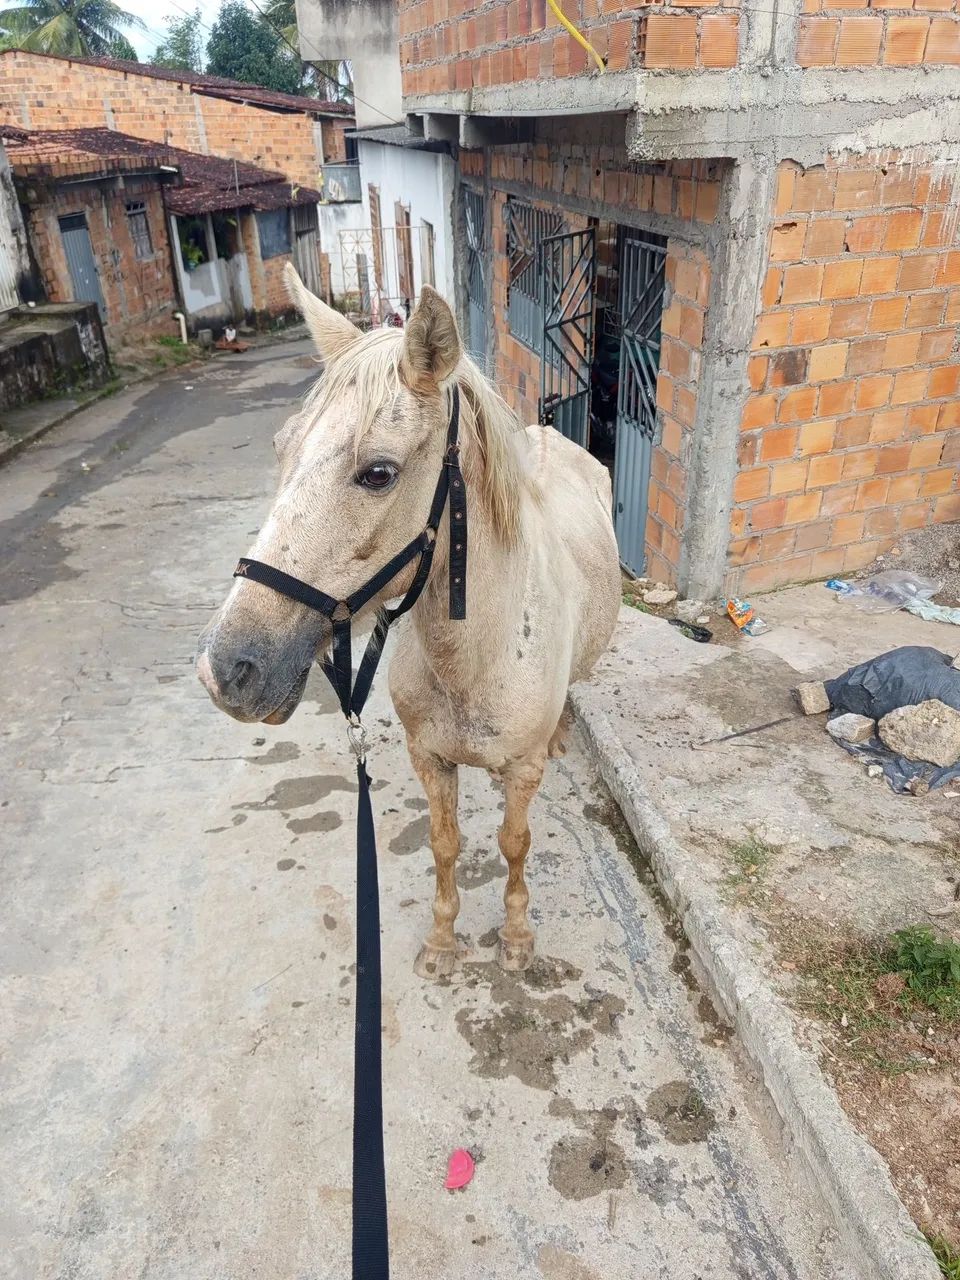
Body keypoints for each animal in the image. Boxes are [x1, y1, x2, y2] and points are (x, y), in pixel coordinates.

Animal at [197, 265, 621, 978]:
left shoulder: (522, 769)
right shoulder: (430, 759)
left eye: (378, 473)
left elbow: (515, 842)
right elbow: (445, 844)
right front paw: (443, 942)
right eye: (281, 448)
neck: (477, 656)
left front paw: (515, 937)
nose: (225, 669)